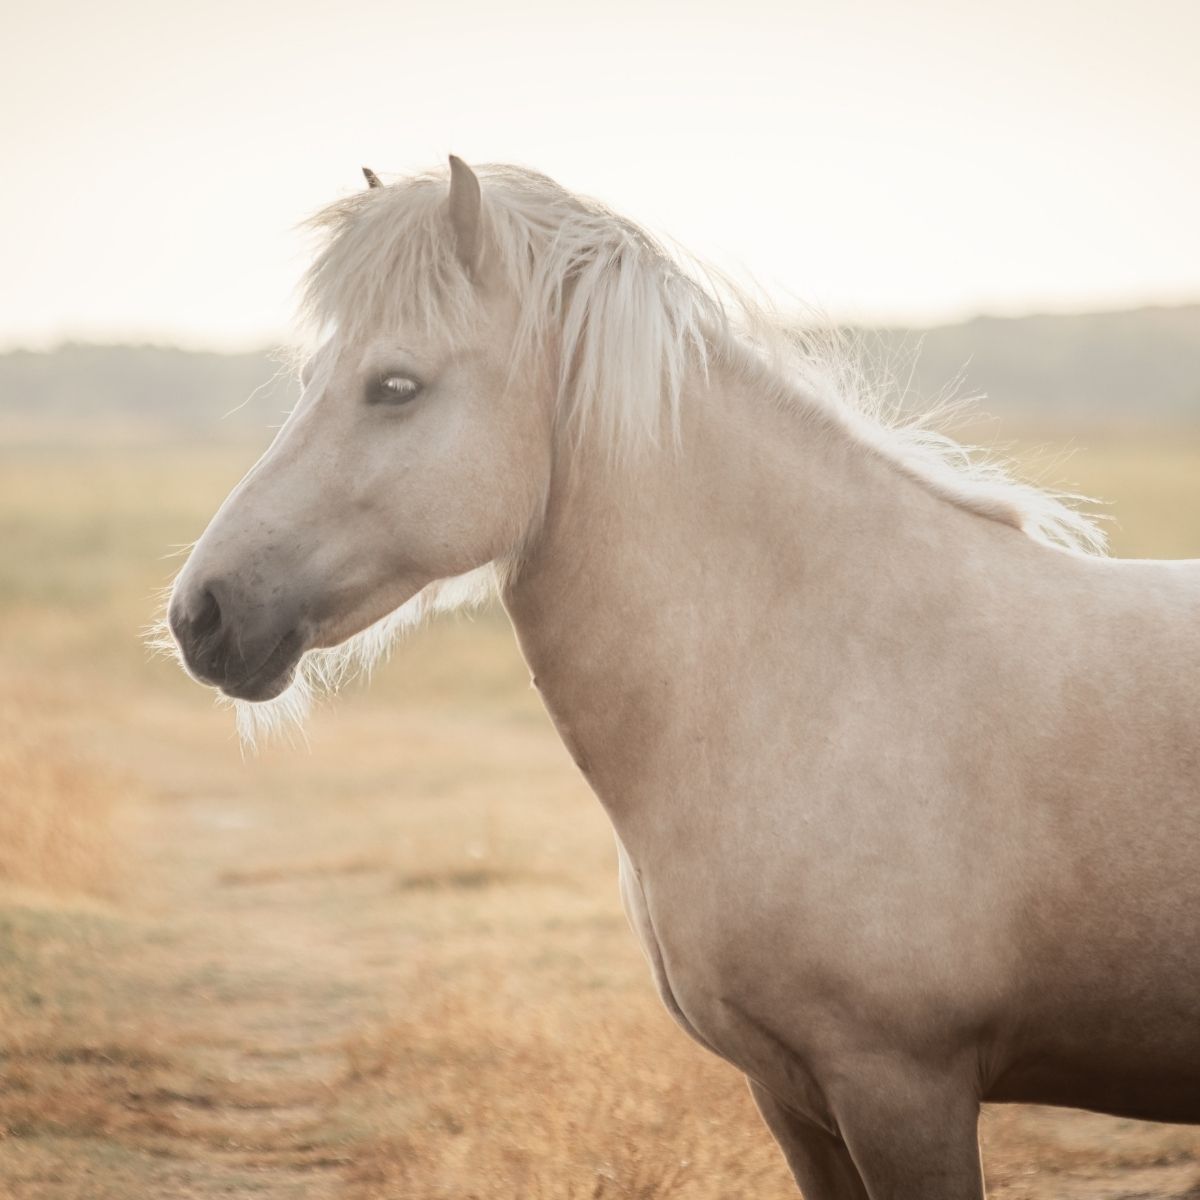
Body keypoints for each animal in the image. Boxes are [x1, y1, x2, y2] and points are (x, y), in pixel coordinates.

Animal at [166, 157, 1200, 1199]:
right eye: (311, 378)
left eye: (394, 385)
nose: (199, 613)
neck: (829, 684)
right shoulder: (791, 1096)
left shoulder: (904, 1087)